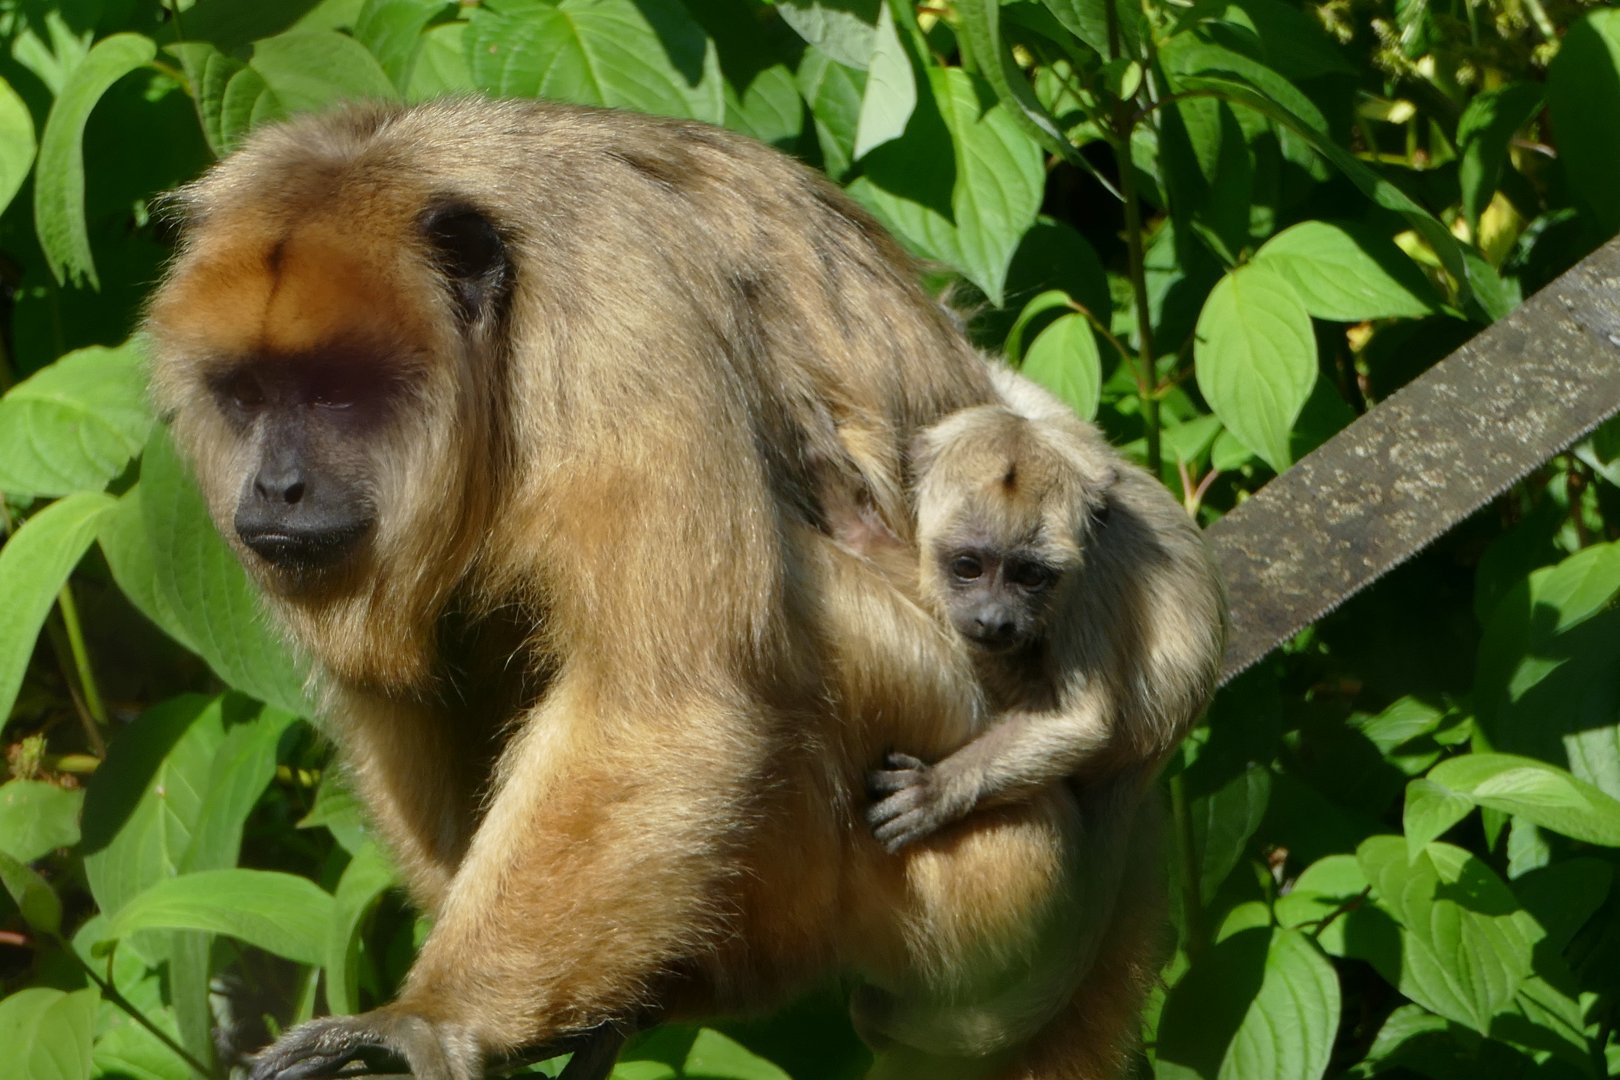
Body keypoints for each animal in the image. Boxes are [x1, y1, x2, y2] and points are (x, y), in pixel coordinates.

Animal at [861, 365, 1228, 853]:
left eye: (1031, 576)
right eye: (967, 566)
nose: (994, 619)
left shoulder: (1083, 587)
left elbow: (1083, 722)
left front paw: (939, 789)